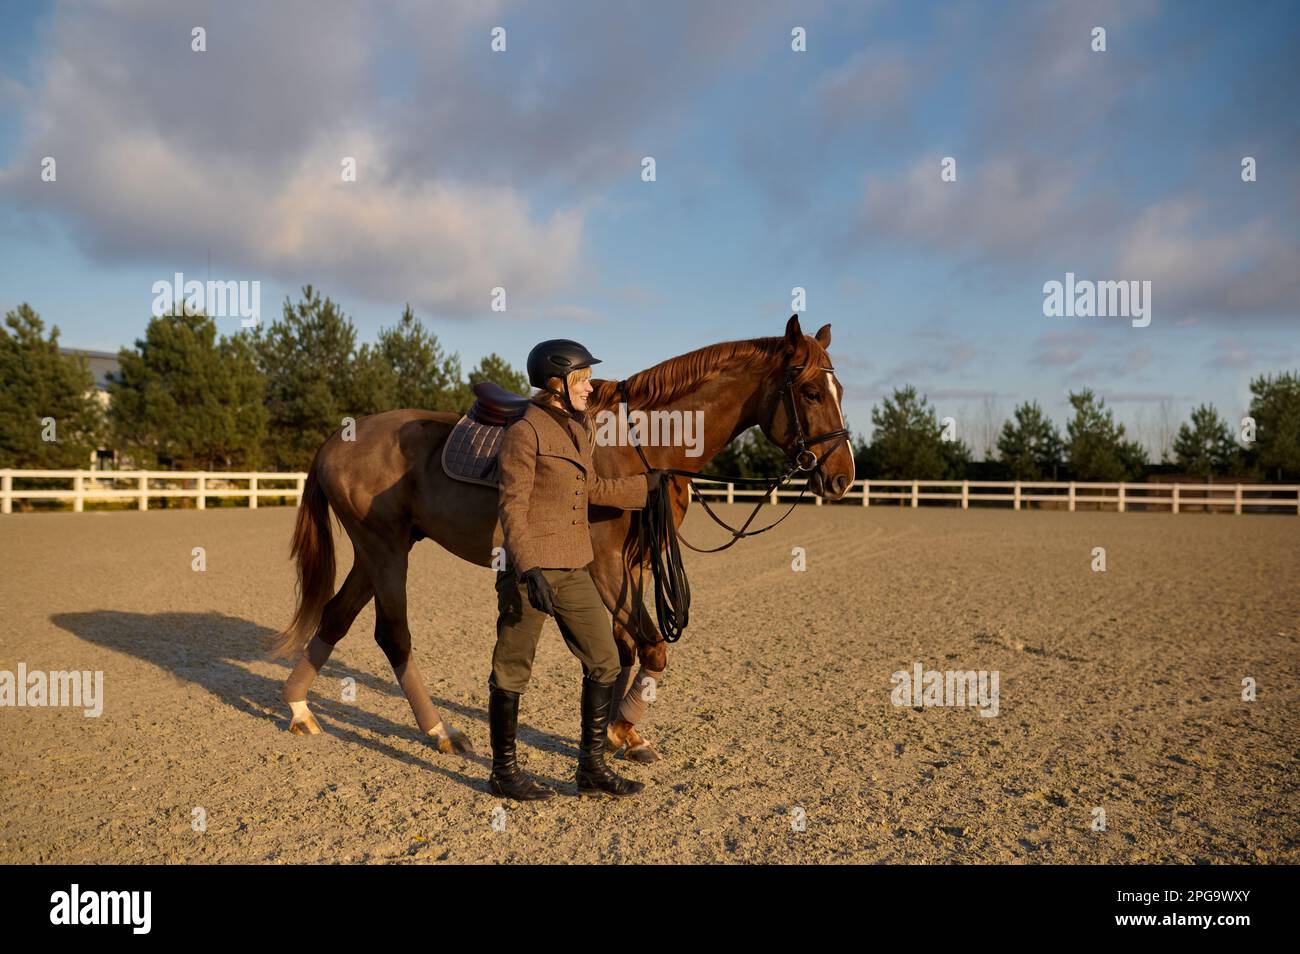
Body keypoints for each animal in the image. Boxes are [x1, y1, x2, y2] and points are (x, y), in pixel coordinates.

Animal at [272, 314, 856, 763]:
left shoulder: (635, 566)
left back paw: (299, 708)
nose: (843, 477)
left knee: (336, 617)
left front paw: (621, 733)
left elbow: (625, 650)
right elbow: (652, 648)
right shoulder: (604, 564)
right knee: (393, 635)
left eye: (840, 391)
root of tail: (338, 438)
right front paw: (619, 729)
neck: (640, 447)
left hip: (377, 552)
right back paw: (440, 731)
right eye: (810, 391)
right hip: (386, 550)